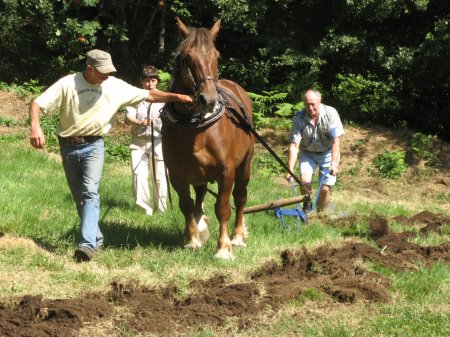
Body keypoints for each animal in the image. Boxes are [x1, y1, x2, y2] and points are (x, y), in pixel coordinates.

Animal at [161, 17, 253, 260]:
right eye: (187, 57)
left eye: (217, 56)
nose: (209, 99)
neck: (193, 126)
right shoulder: (177, 174)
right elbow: (186, 204)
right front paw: (192, 239)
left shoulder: (226, 172)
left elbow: (223, 207)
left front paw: (224, 247)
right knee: (200, 196)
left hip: (245, 164)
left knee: (240, 197)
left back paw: (238, 236)